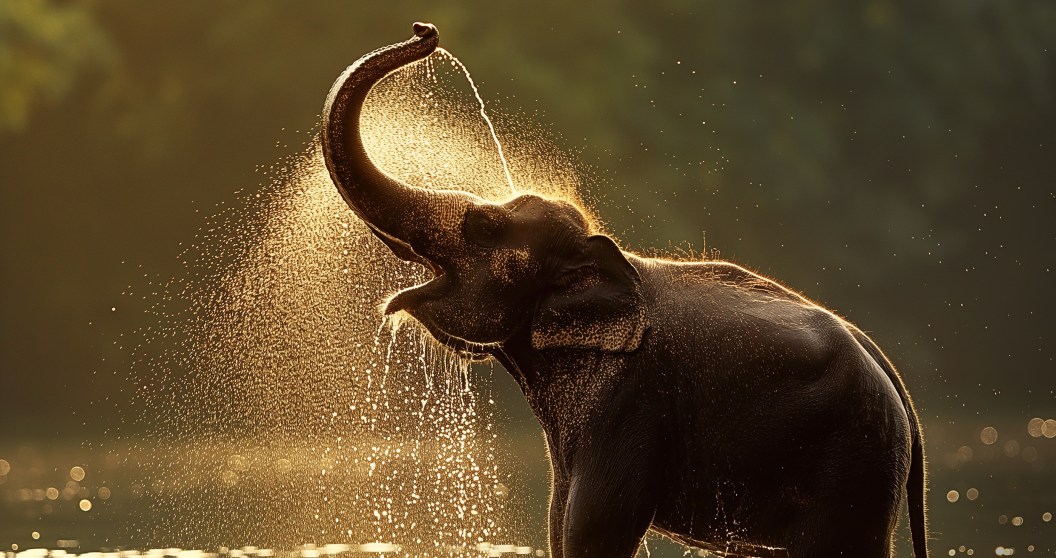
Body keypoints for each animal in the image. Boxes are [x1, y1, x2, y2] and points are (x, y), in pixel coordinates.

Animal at [321, 23, 929, 558]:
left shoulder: (629, 400)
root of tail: (902, 395)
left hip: (853, 464)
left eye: (486, 227)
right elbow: (558, 526)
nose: (425, 30)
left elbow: (592, 530)